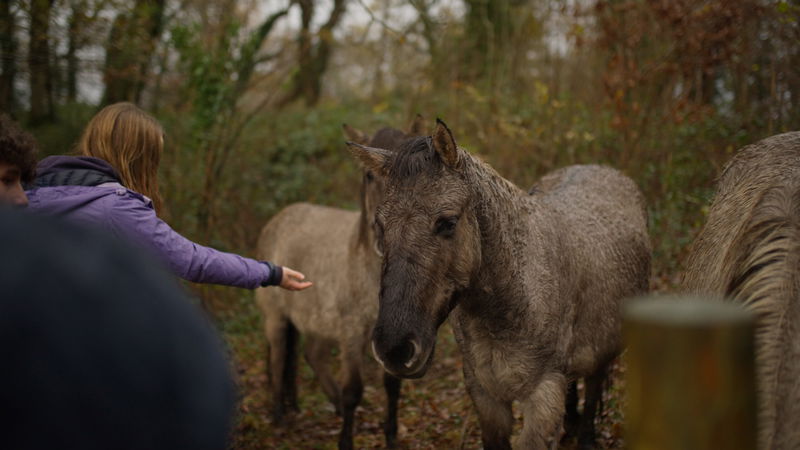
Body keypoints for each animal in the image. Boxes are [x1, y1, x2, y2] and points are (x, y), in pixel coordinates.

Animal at [348, 119, 651, 449]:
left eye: (447, 222)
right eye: (381, 225)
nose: (395, 348)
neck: (516, 296)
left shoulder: (543, 399)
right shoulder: (486, 397)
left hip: (602, 349)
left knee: (594, 386)